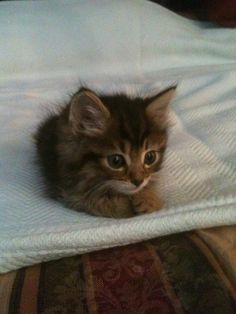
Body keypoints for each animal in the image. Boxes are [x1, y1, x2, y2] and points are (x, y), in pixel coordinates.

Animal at [34, 86, 175, 218]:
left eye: (150, 157)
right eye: (116, 161)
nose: (138, 181)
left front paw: (149, 200)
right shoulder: (69, 192)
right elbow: (95, 202)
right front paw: (124, 207)